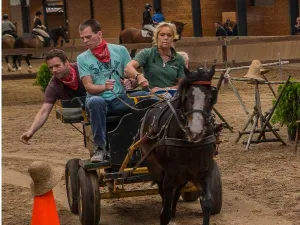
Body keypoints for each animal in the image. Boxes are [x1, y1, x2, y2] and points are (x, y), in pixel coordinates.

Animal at [139, 66, 221, 224]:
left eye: (210, 98)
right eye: (187, 97)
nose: (195, 131)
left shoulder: (204, 172)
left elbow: (207, 203)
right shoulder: (169, 175)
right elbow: (164, 212)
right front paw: (167, 215)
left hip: (183, 175)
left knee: (176, 193)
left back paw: (174, 215)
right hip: (156, 169)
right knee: (164, 193)